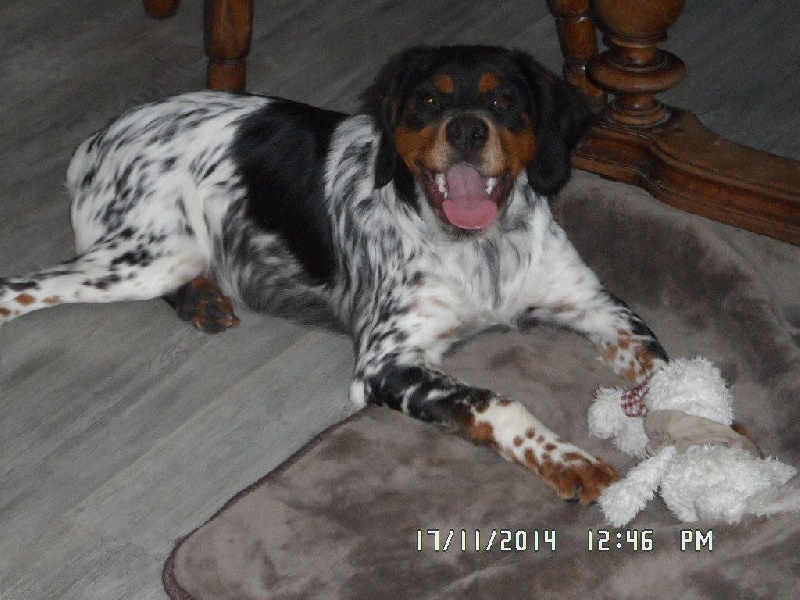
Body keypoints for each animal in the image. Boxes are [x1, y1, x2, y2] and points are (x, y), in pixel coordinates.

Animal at [0, 45, 668, 503]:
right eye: (428, 101)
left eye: (505, 101)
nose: (467, 130)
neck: (482, 248)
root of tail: (101, 136)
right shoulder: (385, 363)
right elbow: (498, 401)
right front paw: (568, 459)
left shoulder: (598, 305)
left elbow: (666, 372)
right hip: (143, 257)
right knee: (21, 288)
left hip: (166, 255)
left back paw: (203, 302)